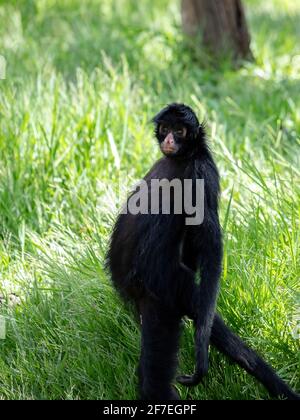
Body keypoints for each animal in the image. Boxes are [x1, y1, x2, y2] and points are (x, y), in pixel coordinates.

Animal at [106, 102, 298, 400]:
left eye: (180, 131)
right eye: (166, 128)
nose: (169, 140)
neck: (185, 157)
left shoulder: (202, 174)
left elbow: (211, 247)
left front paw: (200, 353)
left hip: (163, 296)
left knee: (155, 376)